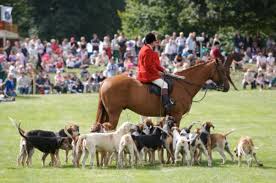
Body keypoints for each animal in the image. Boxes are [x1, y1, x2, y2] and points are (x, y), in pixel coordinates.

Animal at [95, 51, 244, 129]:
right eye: (222, 70)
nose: (227, 87)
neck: (184, 84)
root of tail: (105, 81)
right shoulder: (177, 116)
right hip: (114, 113)